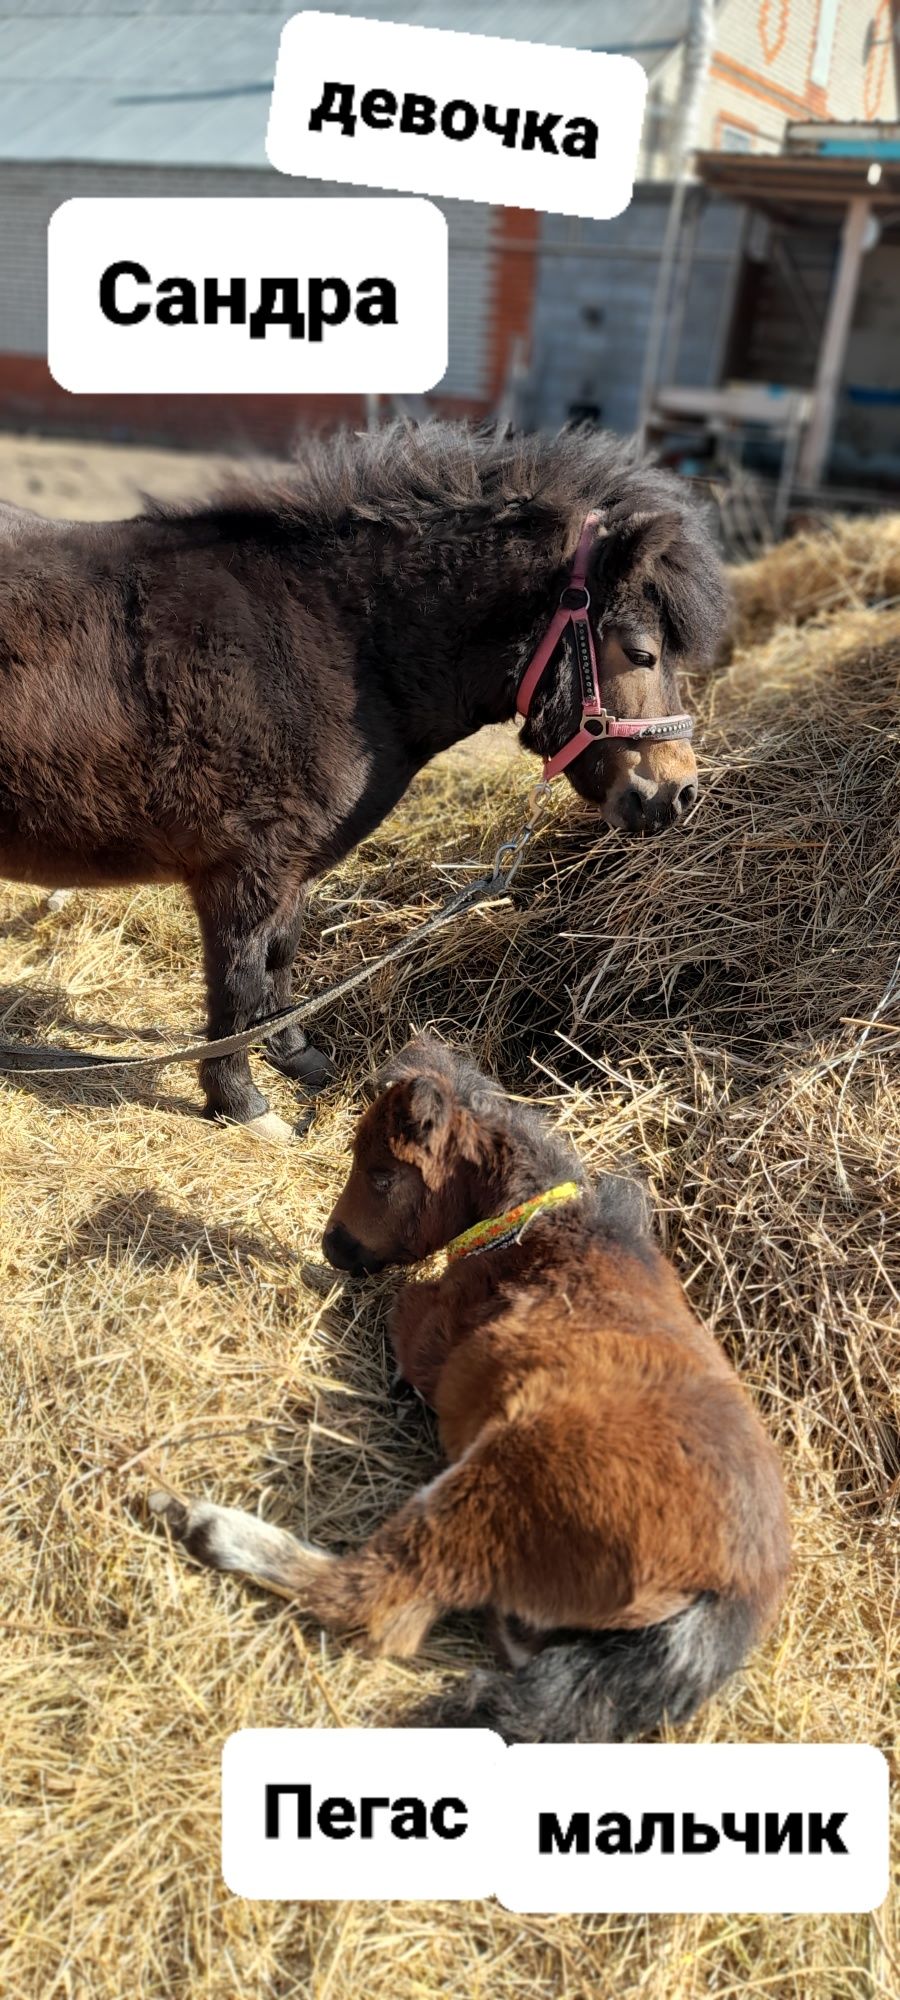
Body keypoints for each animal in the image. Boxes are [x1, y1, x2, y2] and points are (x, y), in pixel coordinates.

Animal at [0, 422, 724, 1144]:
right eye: (641, 653)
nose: (679, 793)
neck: (339, 645)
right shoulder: (246, 868)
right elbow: (238, 978)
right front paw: (241, 1102)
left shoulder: (291, 868)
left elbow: (281, 956)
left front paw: (294, 1054)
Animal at [149, 1040, 788, 1744]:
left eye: (381, 1174)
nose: (333, 1245)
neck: (537, 1234)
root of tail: (731, 1590)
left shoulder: (424, 1327)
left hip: (496, 1484)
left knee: (376, 1603)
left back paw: (208, 1526)